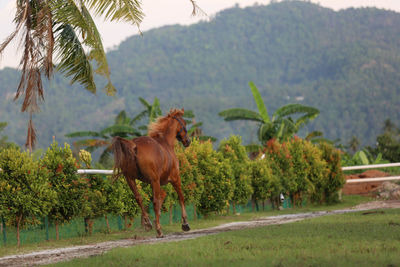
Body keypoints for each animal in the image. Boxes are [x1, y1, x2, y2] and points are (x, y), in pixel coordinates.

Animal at [111, 109, 191, 239]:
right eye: (184, 123)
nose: (188, 141)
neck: (166, 143)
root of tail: (135, 145)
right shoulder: (174, 178)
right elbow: (181, 197)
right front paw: (185, 223)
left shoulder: (155, 182)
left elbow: (162, 196)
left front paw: (155, 220)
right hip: (154, 180)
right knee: (154, 201)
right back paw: (158, 230)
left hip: (130, 179)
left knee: (139, 198)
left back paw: (148, 223)